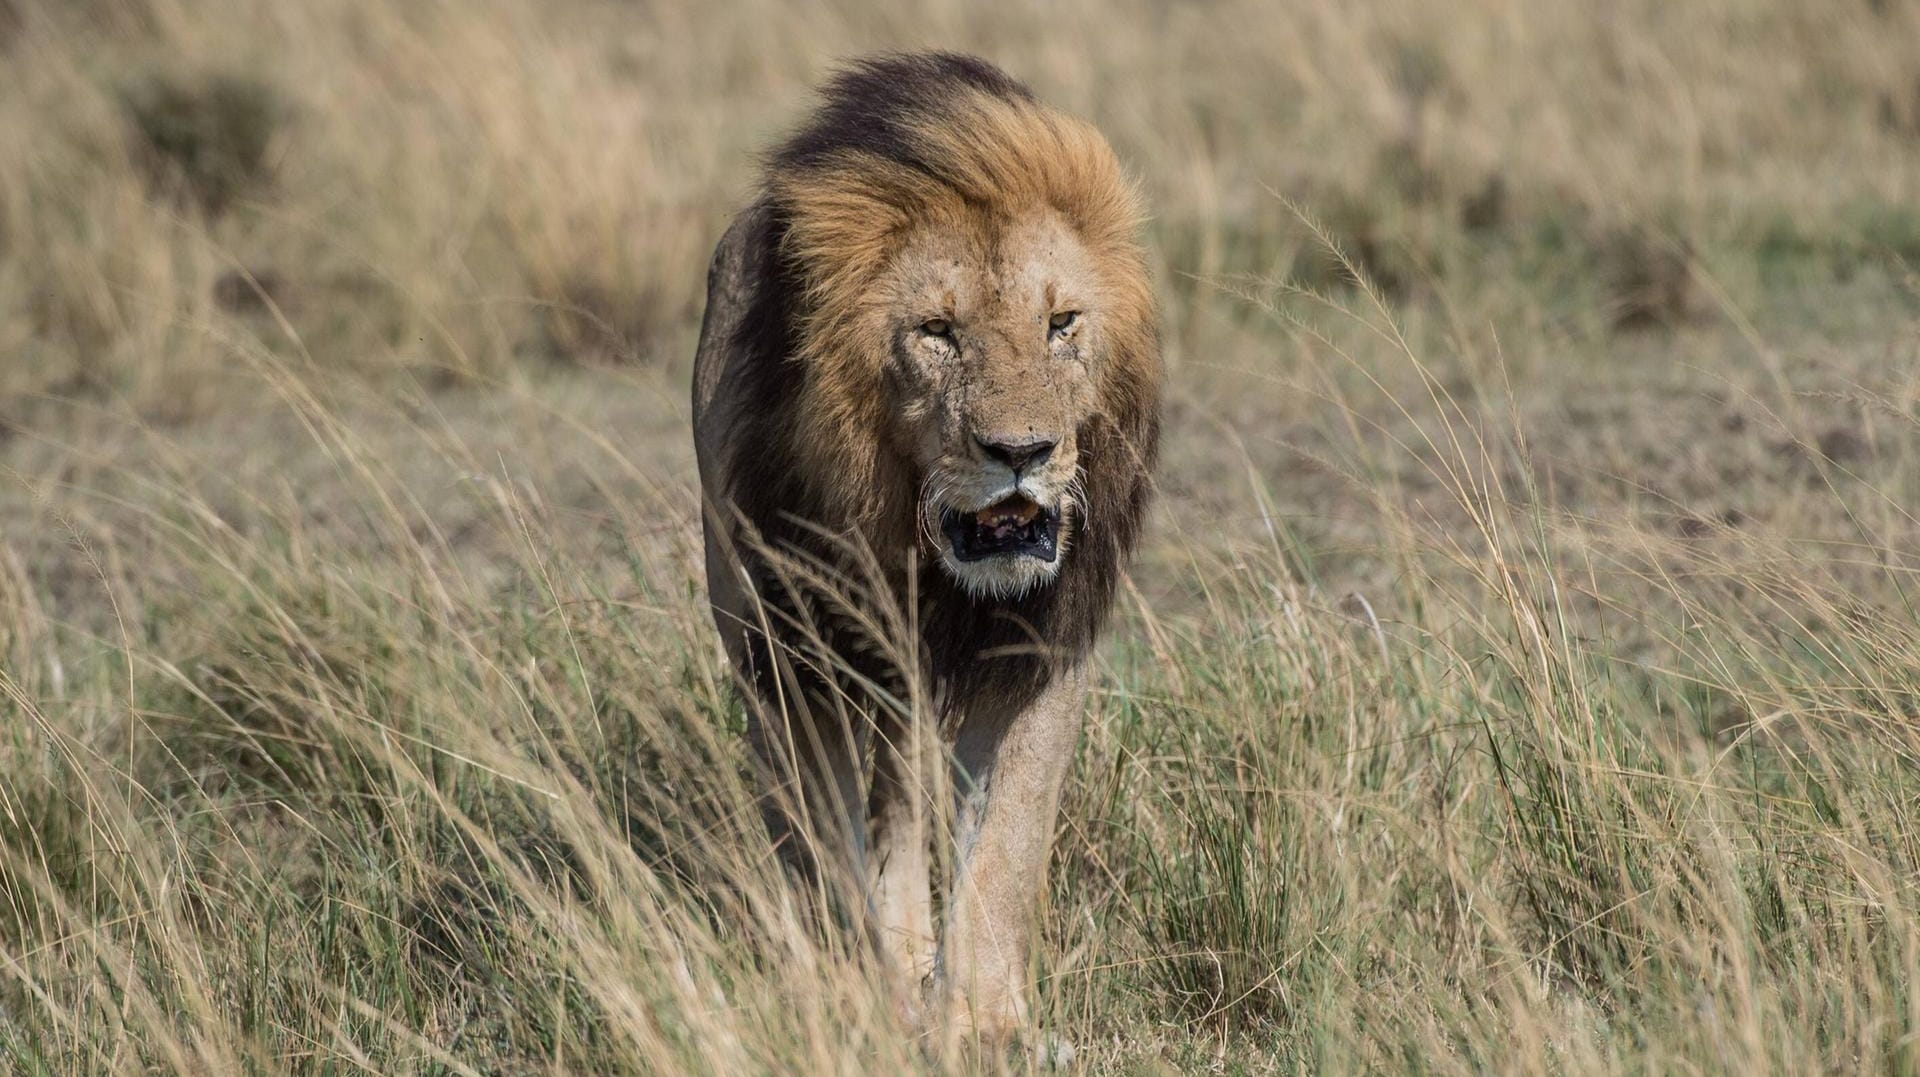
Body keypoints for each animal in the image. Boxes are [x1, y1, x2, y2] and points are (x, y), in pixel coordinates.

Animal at [698, 52, 1159, 1044]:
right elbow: (823, 844)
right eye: (937, 333)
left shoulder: (1043, 645)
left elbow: (1007, 842)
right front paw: (855, 997)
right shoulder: (793, 652)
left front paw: (980, 1019)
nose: (1022, 452)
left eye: (1062, 323)